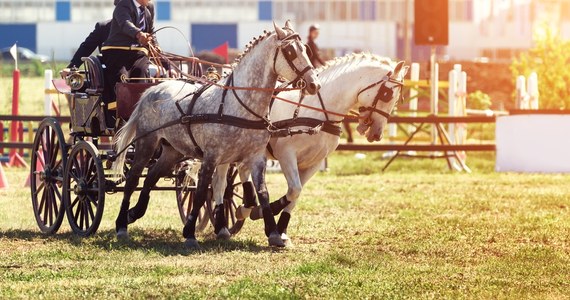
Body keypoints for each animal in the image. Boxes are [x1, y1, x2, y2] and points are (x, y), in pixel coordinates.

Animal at [211, 53, 406, 246]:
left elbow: (295, 195)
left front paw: (281, 231)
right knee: (220, 184)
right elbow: (294, 190)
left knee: (243, 170)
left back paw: (246, 206)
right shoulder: (286, 155)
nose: (377, 134)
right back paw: (223, 226)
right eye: (388, 94)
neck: (318, 111)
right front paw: (262, 214)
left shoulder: (314, 163)